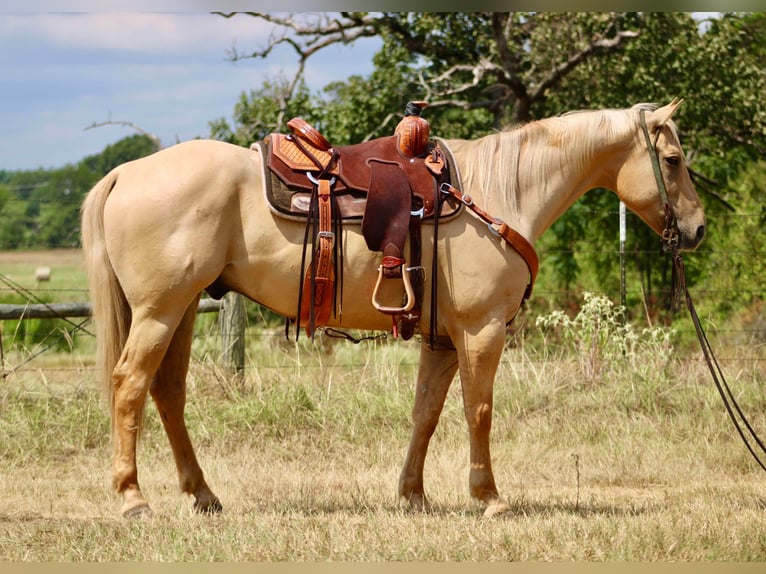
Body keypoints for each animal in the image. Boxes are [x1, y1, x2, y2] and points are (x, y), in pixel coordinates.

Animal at [81, 99, 705, 518]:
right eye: (673, 159)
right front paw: (490, 498)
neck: (500, 193)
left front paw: (413, 495)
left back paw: (203, 495)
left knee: (167, 392)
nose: (697, 230)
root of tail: (125, 171)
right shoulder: (481, 332)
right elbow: (479, 411)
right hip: (160, 312)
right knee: (130, 385)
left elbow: (426, 413)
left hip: (182, 309)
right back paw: (133, 499)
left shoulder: (443, 340)